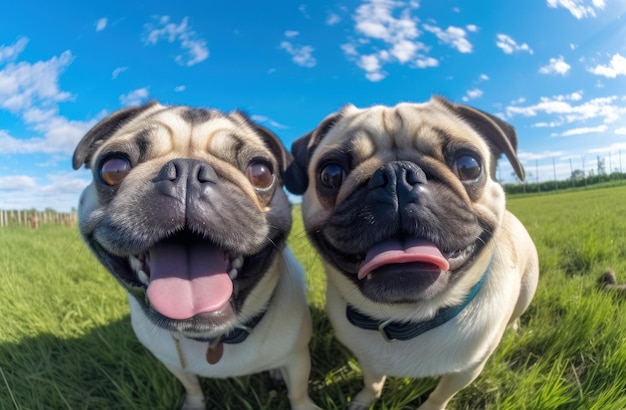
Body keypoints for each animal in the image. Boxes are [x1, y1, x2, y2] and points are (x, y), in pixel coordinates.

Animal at [72, 102, 314, 410]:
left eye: (261, 172)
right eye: (113, 167)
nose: (186, 170)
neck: (212, 338)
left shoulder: (298, 359)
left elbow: (298, 392)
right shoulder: (173, 363)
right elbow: (191, 385)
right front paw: (195, 403)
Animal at [286, 97, 540, 410]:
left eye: (469, 166)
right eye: (330, 174)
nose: (395, 175)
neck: (410, 318)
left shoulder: (467, 371)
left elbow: (439, 396)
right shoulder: (368, 359)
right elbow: (372, 381)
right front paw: (364, 400)